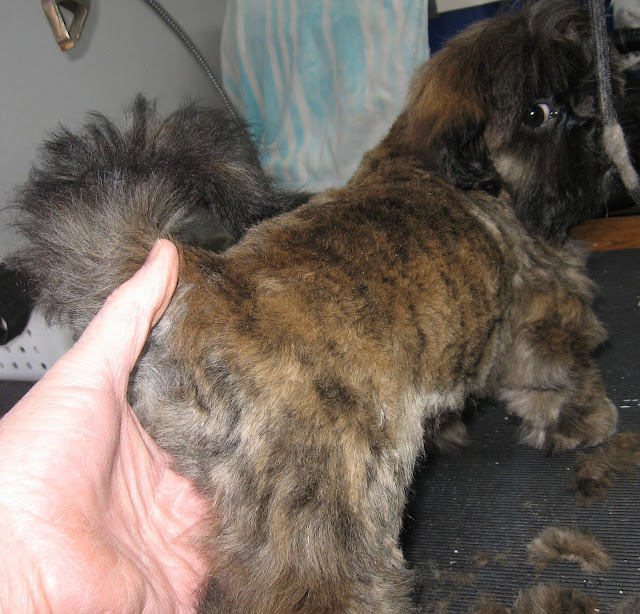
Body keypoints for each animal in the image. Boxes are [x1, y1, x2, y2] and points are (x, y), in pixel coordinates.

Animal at [12, 0, 631, 611]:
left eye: (585, 90)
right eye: (538, 112)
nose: (594, 120)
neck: (442, 170)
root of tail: (207, 278)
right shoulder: (542, 314)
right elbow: (557, 374)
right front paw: (584, 419)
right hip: (331, 511)